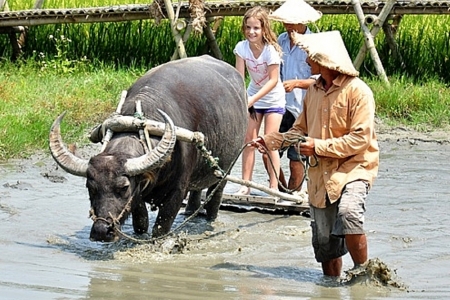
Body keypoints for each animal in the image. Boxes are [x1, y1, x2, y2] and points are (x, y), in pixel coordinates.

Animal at [50, 55, 248, 243]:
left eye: (123, 187)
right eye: (90, 187)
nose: (101, 231)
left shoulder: (177, 192)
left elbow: (161, 227)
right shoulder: (138, 193)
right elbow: (141, 221)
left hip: (225, 168)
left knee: (215, 196)